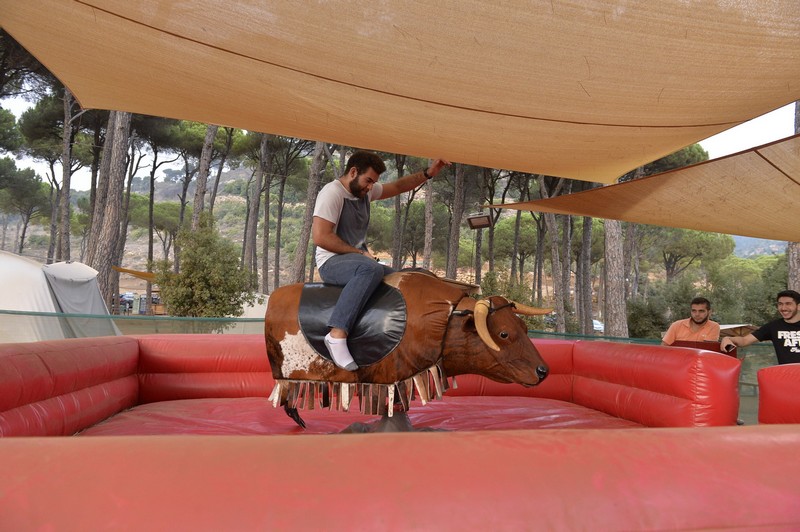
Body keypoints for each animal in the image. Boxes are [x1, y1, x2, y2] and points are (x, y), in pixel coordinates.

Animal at [262, 270, 552, 428]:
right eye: (503, 333)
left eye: (524, 327)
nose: (543, 371)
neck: (445, 321)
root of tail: (275, 297)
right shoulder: (388, 376)